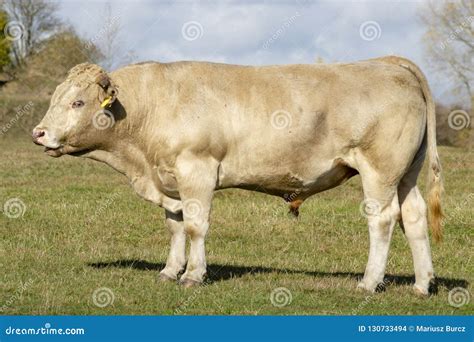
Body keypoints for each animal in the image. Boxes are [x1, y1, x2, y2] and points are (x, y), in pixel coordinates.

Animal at [34, 56, 444, 294]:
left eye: (78, 102)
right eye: (55, 97)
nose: (38, 133)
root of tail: (388, 63)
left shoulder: (196, 168)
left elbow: (195, 226)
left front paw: (193, 275)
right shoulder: (168, 178)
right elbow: (175, 225)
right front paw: (169, 270)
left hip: (379, 170)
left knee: (383, 220)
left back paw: (369, 282)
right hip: (405, 174)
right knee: (414, 217)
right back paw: (422, 284)